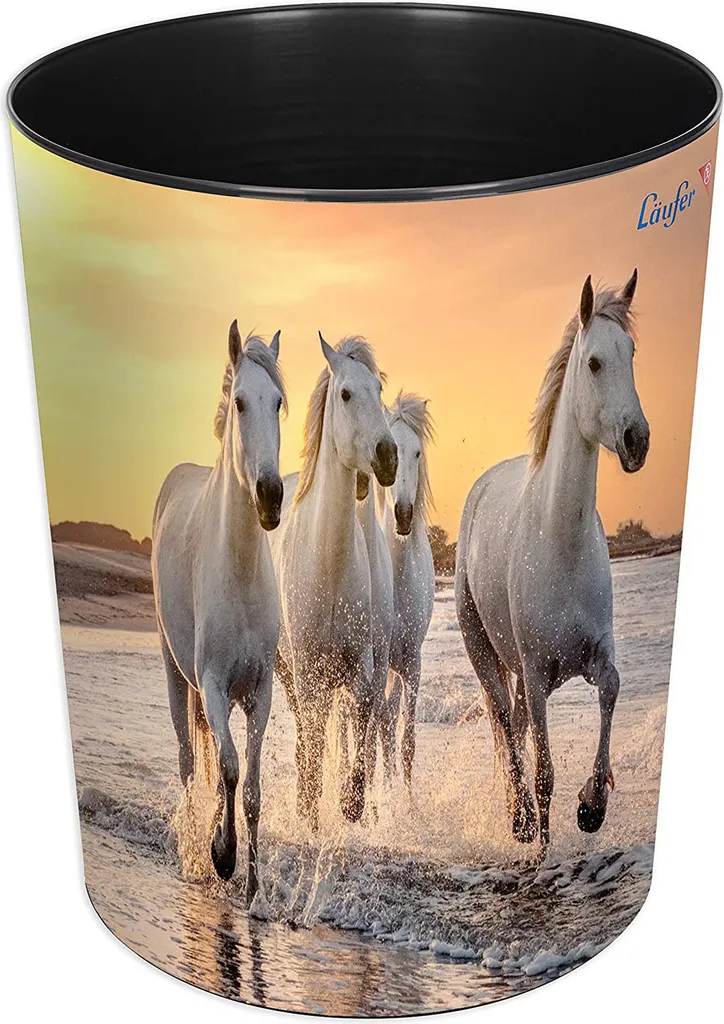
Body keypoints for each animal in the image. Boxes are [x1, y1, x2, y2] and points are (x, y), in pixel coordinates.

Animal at [271, 334, 398, 830]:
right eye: (345, 394)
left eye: (380, 392)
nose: (389, 457)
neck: (329, 565)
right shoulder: (308, 674)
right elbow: (312, 747)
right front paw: (309, 813)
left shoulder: (361, 668)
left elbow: (359, 737)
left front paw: (350, 805)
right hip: (289, 674)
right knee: (308, 738)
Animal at [455, 271, 649, 851]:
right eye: (594, 362)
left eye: (631, 352)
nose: (637, 440)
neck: (560, 541)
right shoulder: (539, 674)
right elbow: (544, 774)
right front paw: (541, 840)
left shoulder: (596, 653)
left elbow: (612, 687)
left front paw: (592, 806)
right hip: (485, 651)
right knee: (504, 720)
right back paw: (518, 818)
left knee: (513, 725)